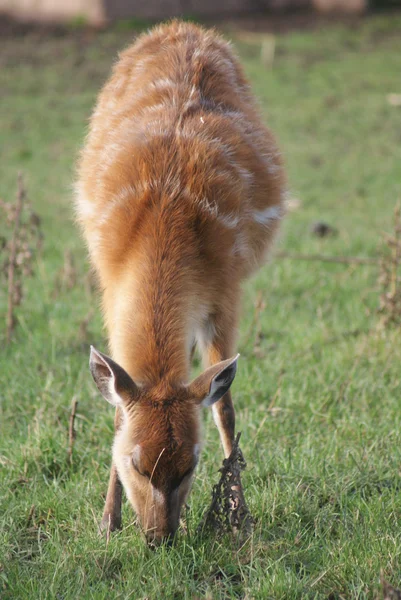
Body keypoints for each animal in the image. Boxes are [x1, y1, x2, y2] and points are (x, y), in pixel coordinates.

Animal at [75, 19, 286, 544]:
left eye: (191, 464)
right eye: (136, 462)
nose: (159, 537)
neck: (164, 221)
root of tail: (182, 27)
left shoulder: (226, 291)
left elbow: (224, 406)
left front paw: (238, 516)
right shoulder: (110, 289)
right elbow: (117, 407)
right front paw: (107, 522)